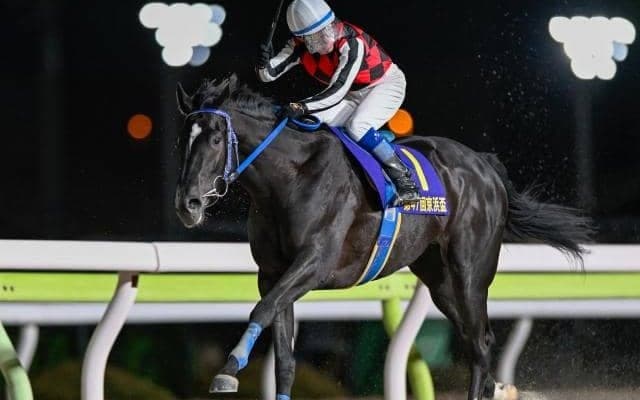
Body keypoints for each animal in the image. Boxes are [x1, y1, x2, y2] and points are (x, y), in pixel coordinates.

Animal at [173, 73, 594, 400]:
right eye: (184, 140)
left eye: (215, 139)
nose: (187, 203)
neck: (290, 178)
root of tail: (485, 165)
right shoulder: (273, 274)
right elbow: (284, 356)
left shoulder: (315, 262)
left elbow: (261, 310)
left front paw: (228, 370)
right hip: (438, 278)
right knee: (475, 341)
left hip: (470, 272)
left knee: (479, 344)